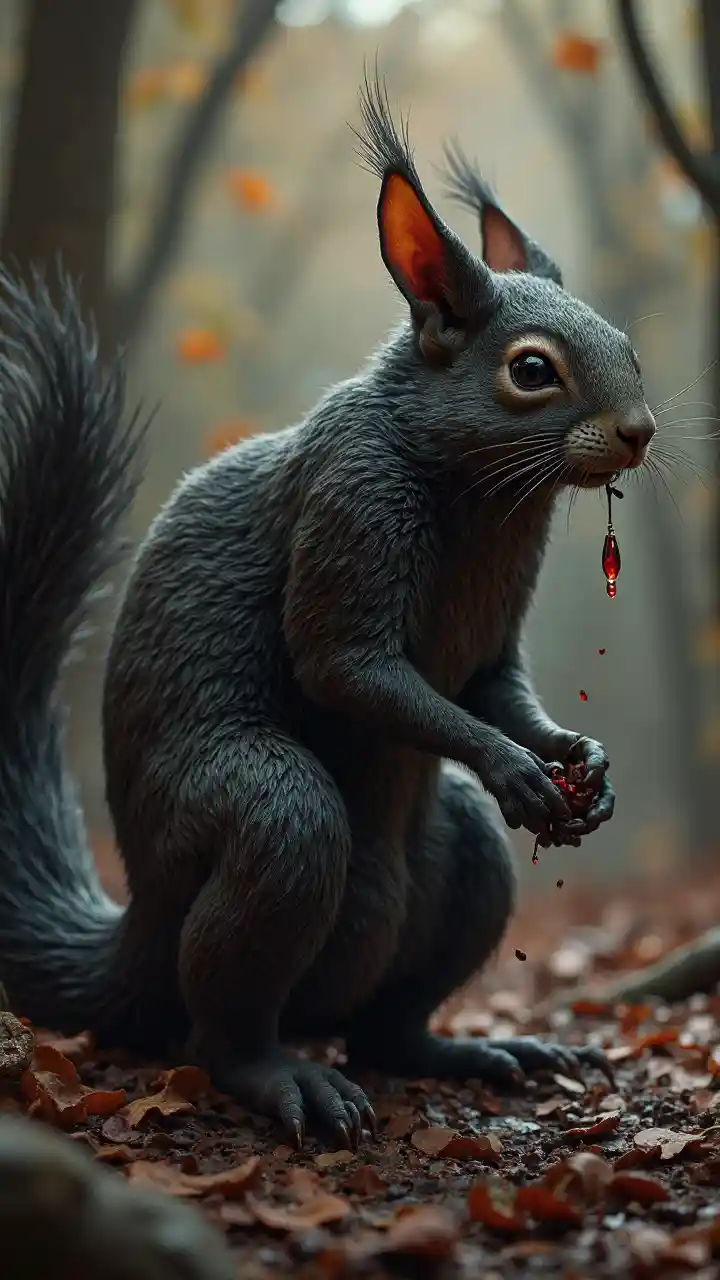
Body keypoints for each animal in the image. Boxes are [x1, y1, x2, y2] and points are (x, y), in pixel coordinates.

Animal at [0, 76, 656, 1147]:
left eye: (629, 346)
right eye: (531, 370)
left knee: (387, 1026)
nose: (640, 432)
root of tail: (137, 933)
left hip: (462, 861)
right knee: (226, 1015)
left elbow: (496, 685)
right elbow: (345, 664)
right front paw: (515, 768)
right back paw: (284, 1079)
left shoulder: (495, 631)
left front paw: (578, 761)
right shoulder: (350, 496)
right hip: (265, 827)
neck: (488, 500)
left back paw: (477, 1053)